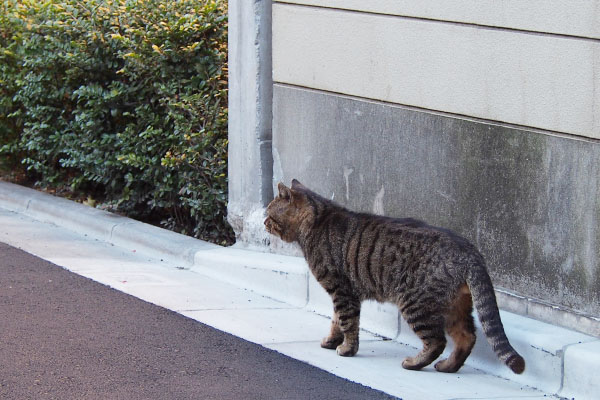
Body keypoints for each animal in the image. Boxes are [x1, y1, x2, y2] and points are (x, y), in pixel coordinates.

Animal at [264, 180, 524, 374]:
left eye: (268, 213)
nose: (264, 221)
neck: (317, 222)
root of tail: (471, 252)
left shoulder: (342, 291)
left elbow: (347, 322)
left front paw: (347, 349)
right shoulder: (342, 294)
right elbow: (336, 320)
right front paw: (331, 341)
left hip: (416, 304)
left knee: (437, 341)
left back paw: (414, 363)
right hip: (454, 308)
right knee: (467, 337)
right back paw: (448, 366)